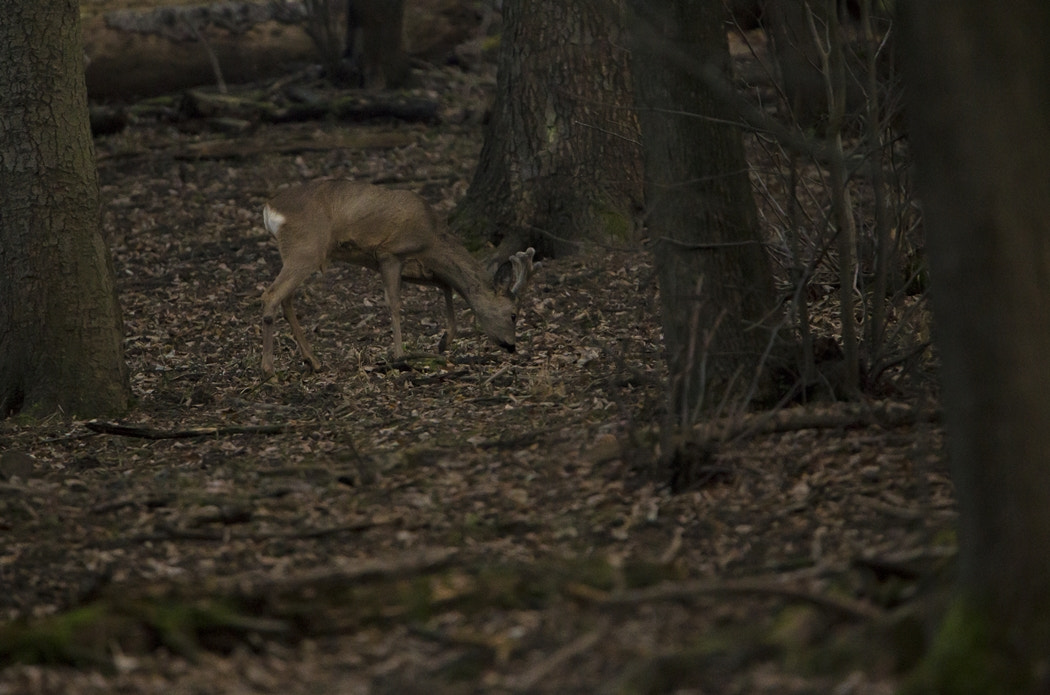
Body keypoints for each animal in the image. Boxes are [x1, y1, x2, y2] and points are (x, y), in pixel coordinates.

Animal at [259, 179, 537, 377]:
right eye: (513, 314)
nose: (511, 345)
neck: (433, 239)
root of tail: (269, 208)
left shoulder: (416, 266)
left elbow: (446, 285)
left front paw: (443, 342)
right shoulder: (390, 253)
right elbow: (394, 304)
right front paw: (399, 355)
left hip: (297, 253)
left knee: (286, 299)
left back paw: (313, 361)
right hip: (307, 248)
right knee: (271, 294)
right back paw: (269, 369)